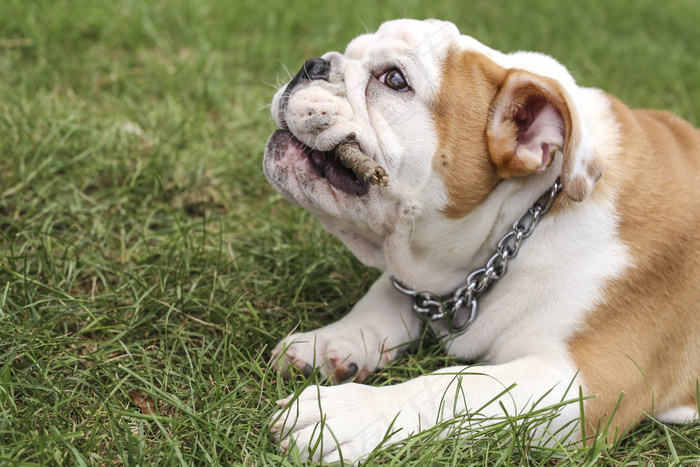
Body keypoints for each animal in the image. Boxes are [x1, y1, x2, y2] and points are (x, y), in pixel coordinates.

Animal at [262, 19, 700, 464]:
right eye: (352, 50)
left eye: (395, 80)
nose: (312, 65)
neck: (524, 220)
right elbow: (384, 293)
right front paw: (332, 340)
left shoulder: (581, 386)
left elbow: (457, 386)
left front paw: (348, 414)